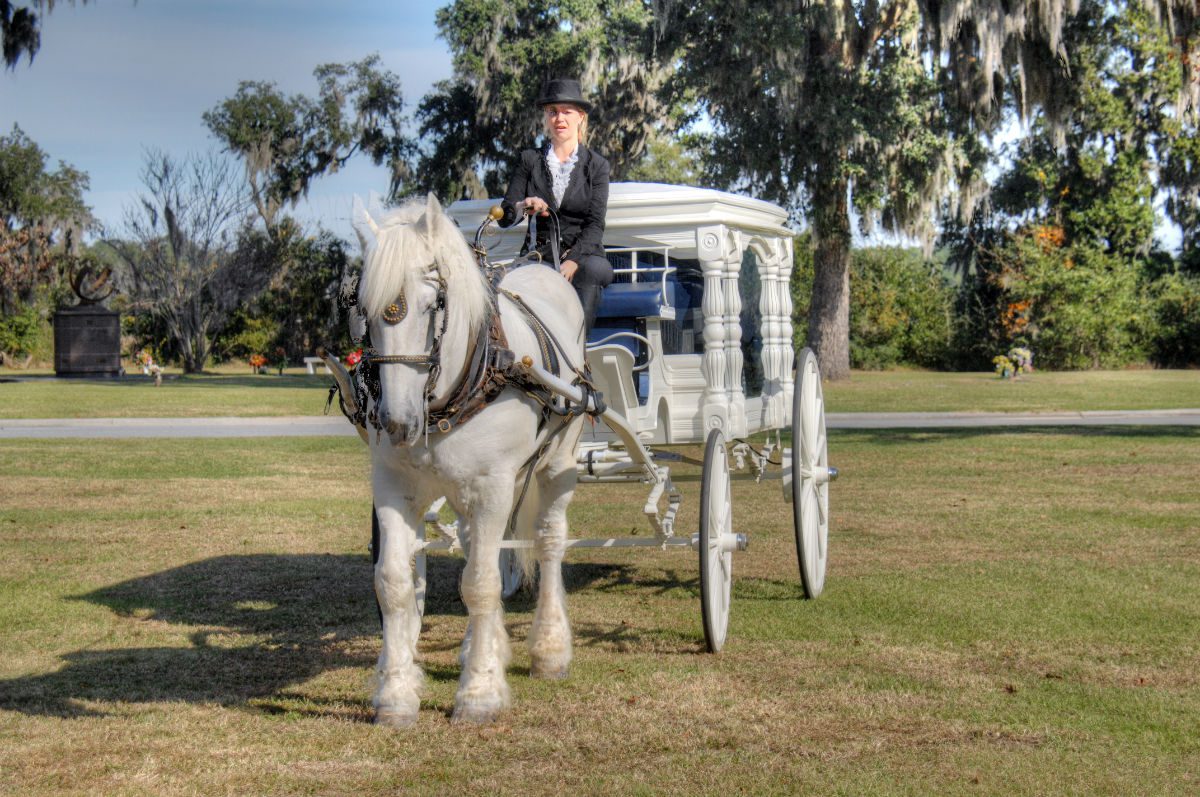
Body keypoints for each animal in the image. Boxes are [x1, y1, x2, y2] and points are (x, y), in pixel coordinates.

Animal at [347, 193, 587, 726]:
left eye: (433, 304)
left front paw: (479, 693)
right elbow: (395, 582)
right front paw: (396, 693)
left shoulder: (493, 484)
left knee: (548, 542)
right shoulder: (393, 486)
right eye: (362, 309)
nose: (397, 423)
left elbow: (479, 584)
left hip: (558, 460)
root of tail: (540, 264)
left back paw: (549, 648)